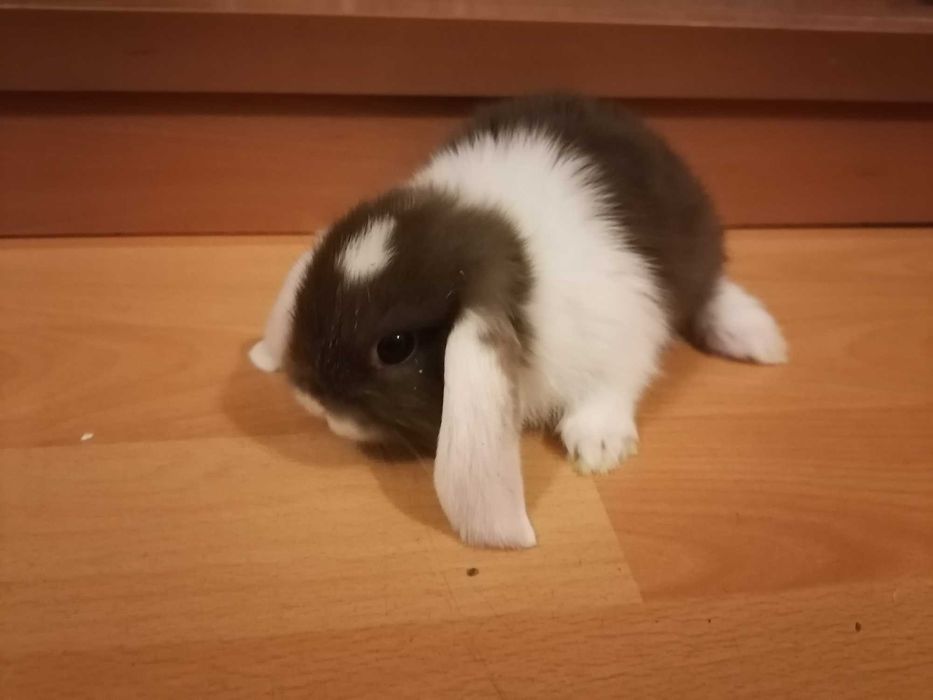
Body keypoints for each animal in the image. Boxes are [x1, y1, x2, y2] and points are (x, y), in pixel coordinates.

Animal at [249, 93, 787, 549]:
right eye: (307, 295)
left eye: (396, 345)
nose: (313, 398)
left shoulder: (626, 331)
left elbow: (615, 385)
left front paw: (598, 447)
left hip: (697, 252)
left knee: (711, 291)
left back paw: (758, 339)